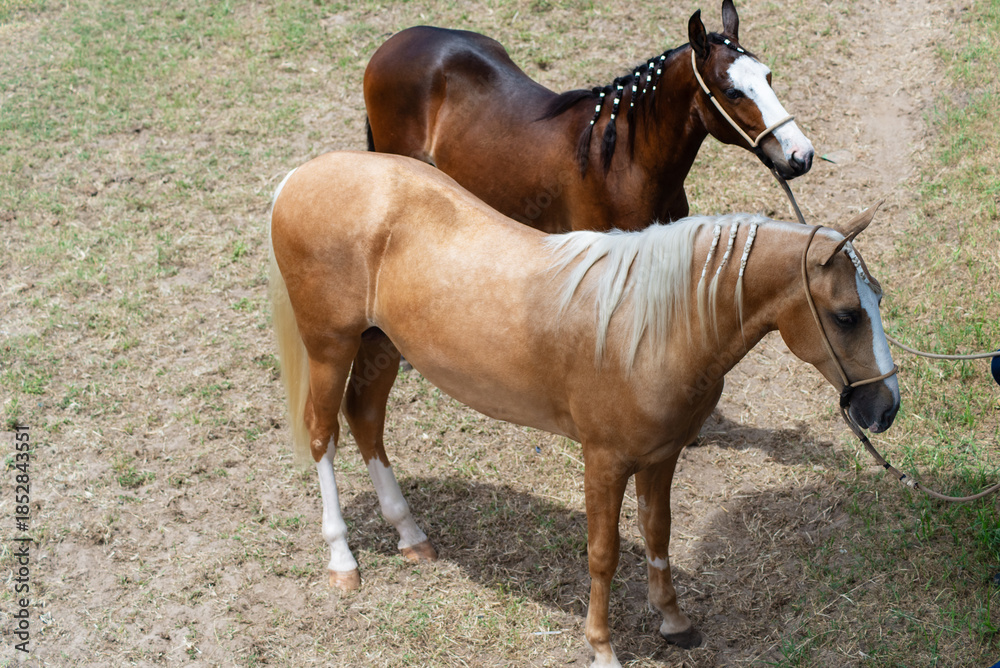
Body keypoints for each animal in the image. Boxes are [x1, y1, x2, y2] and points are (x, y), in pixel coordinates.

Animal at [268, 151, 898, 667]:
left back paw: (410, 535)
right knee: (323, 434)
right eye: (845, 315)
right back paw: (342, 560)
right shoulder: (604, 461)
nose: (886, 407)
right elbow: (603, 553)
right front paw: (603, 648)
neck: (655, 326)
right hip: (330, 346)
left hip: (381, 345)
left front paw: (674, 621)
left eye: (878, 299)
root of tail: (301, 177)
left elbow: (658, 532)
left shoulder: (662, 456)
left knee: (366, 420)